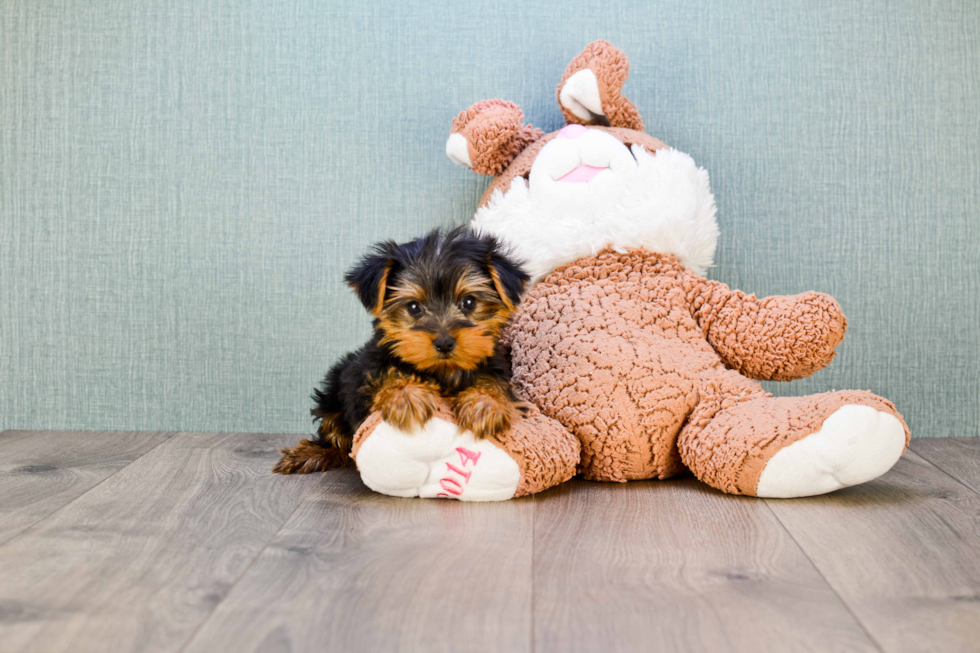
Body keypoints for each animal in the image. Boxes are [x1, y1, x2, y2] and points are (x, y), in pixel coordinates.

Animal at [272, 227, 532, 472]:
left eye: (468, 302)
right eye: (414, 307)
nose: (444, 342)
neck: (442, 371)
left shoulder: (493, 363)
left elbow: (493, 381)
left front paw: (484, 405)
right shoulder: (366, 376)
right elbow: (386, 375)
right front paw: (406, 397)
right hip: (335, 388)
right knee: (336, 433)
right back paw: (311, 454)